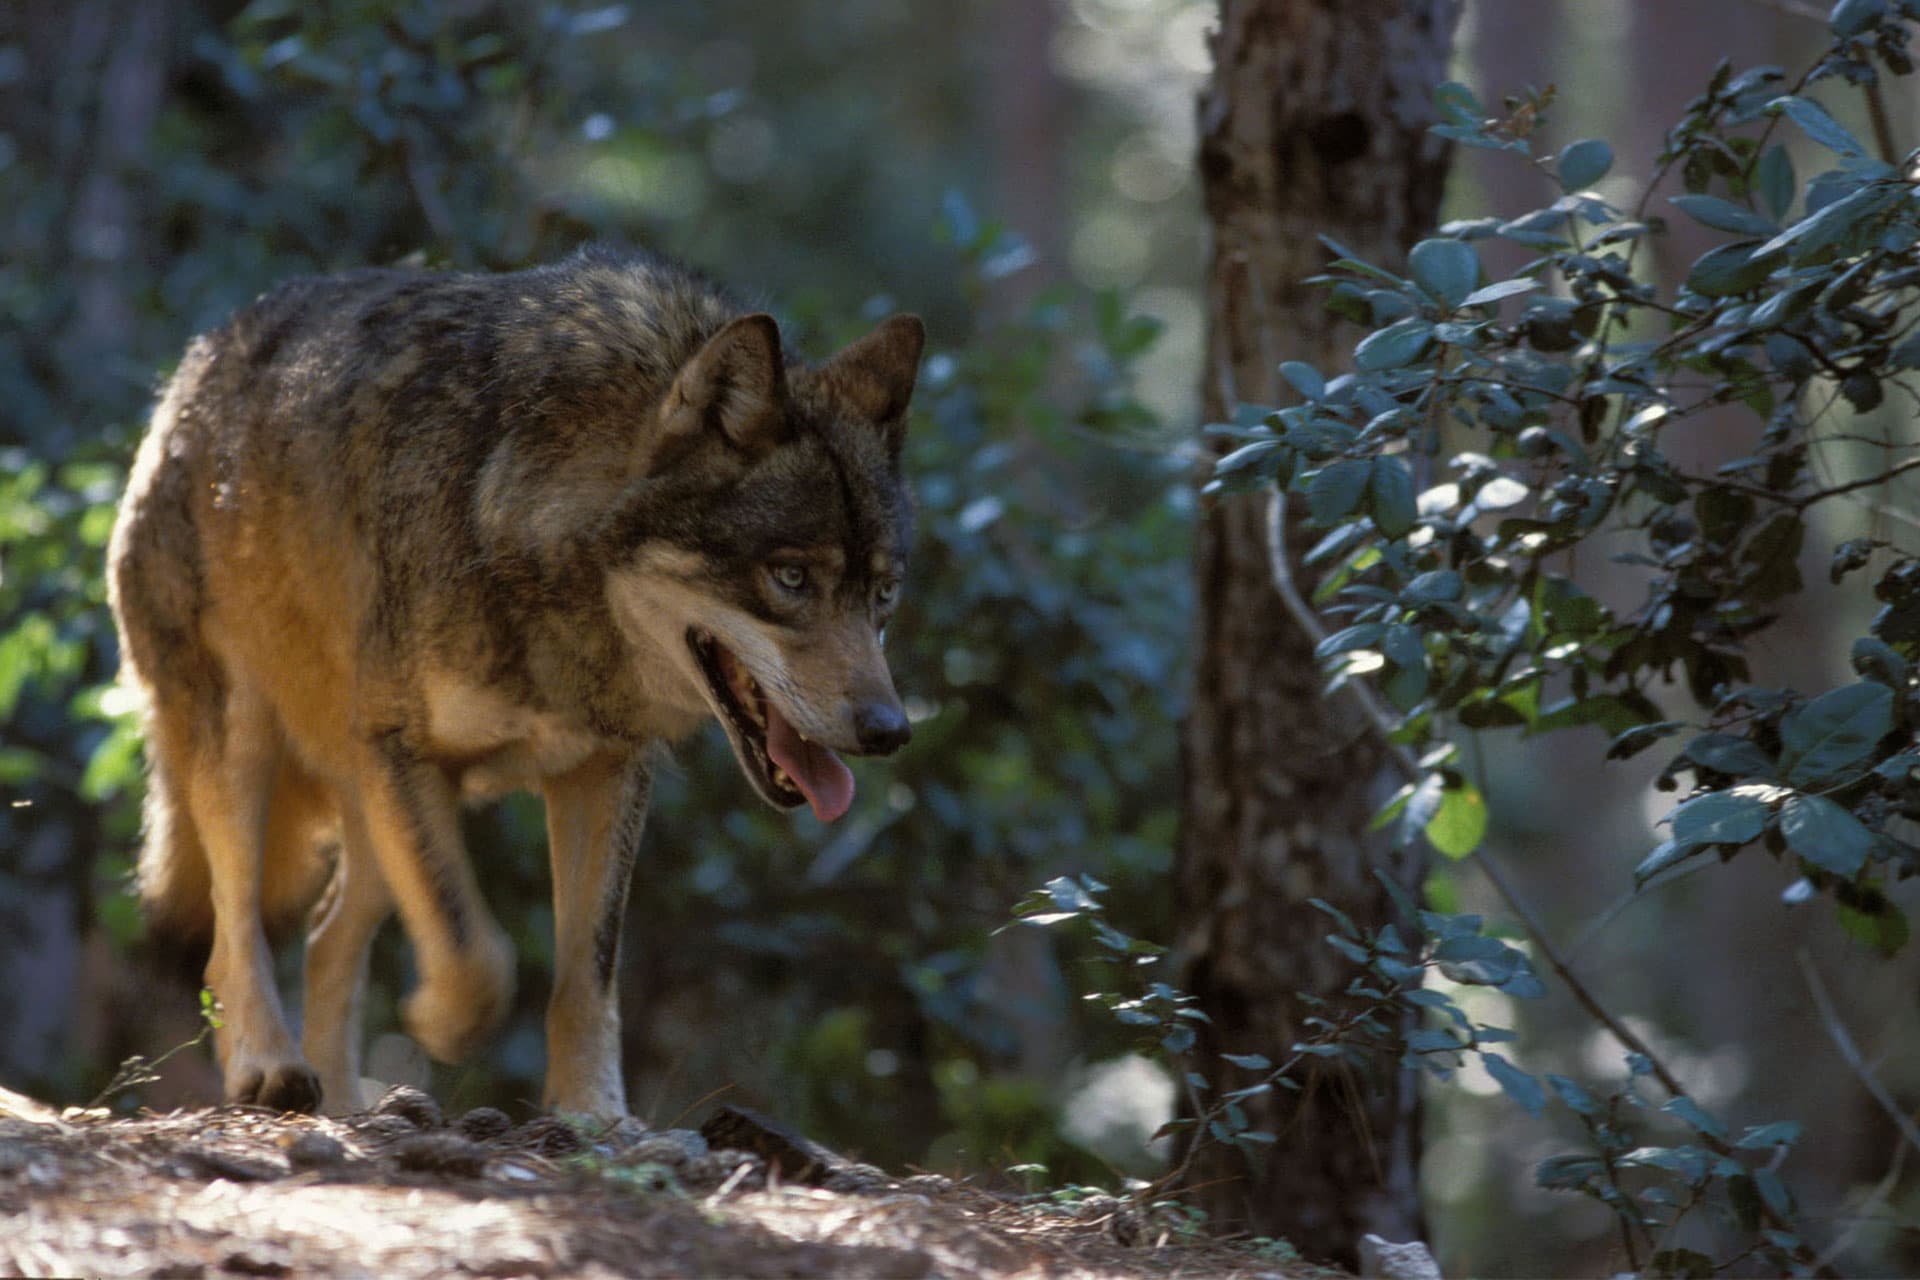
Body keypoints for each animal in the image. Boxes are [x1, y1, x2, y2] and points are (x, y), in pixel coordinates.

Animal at [107, 248, 923, 1117]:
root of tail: (189, 373)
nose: (889, 732)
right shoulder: (407, 754)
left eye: (882, 593)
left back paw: (347, 1105)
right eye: (791, 578)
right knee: (234, 933)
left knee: (326, 936)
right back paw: (269, 1066)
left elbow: (587, 973)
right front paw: (438, 1025)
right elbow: (481, 959)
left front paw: (593, 1113)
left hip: (367, 803)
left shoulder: (603, 771)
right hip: (249, 753)